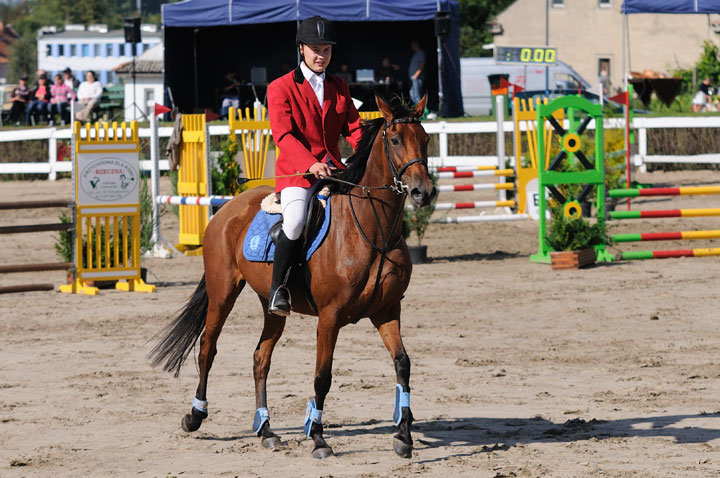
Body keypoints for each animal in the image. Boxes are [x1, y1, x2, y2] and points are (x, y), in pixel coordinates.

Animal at [149, 94, 436, 460]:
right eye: (396, 140)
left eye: (425, 138)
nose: (423, 192)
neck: (373, 231)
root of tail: (227, 208)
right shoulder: (329, 318)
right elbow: (322, 377)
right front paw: (318, 438)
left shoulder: (387, 311)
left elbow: (403, 364)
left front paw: (403, 436)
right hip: (222, 293)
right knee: (207, 348)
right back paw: (195, 416)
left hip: (271, 306)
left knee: (260, 358)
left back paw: (266, 430)